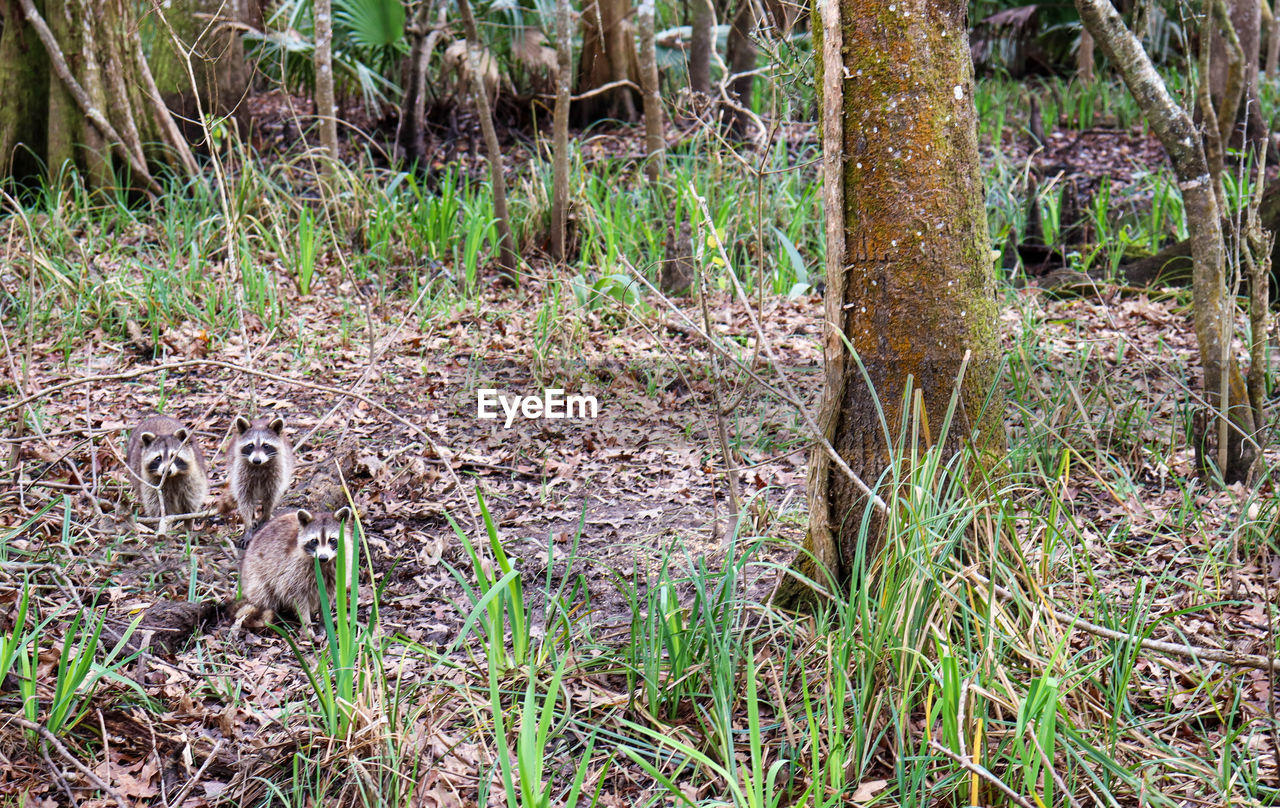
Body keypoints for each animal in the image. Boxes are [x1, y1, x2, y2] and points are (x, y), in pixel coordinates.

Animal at [230, 509, 355, 642]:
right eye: (314, 541)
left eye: (332, 540)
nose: (323, 557)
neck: (323, 564)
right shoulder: (292, 570)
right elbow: (298, 598)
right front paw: (307, 624)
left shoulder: (338, 569)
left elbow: (327, 598)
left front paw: (324, 622)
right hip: (256, 573)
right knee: (264, 593)